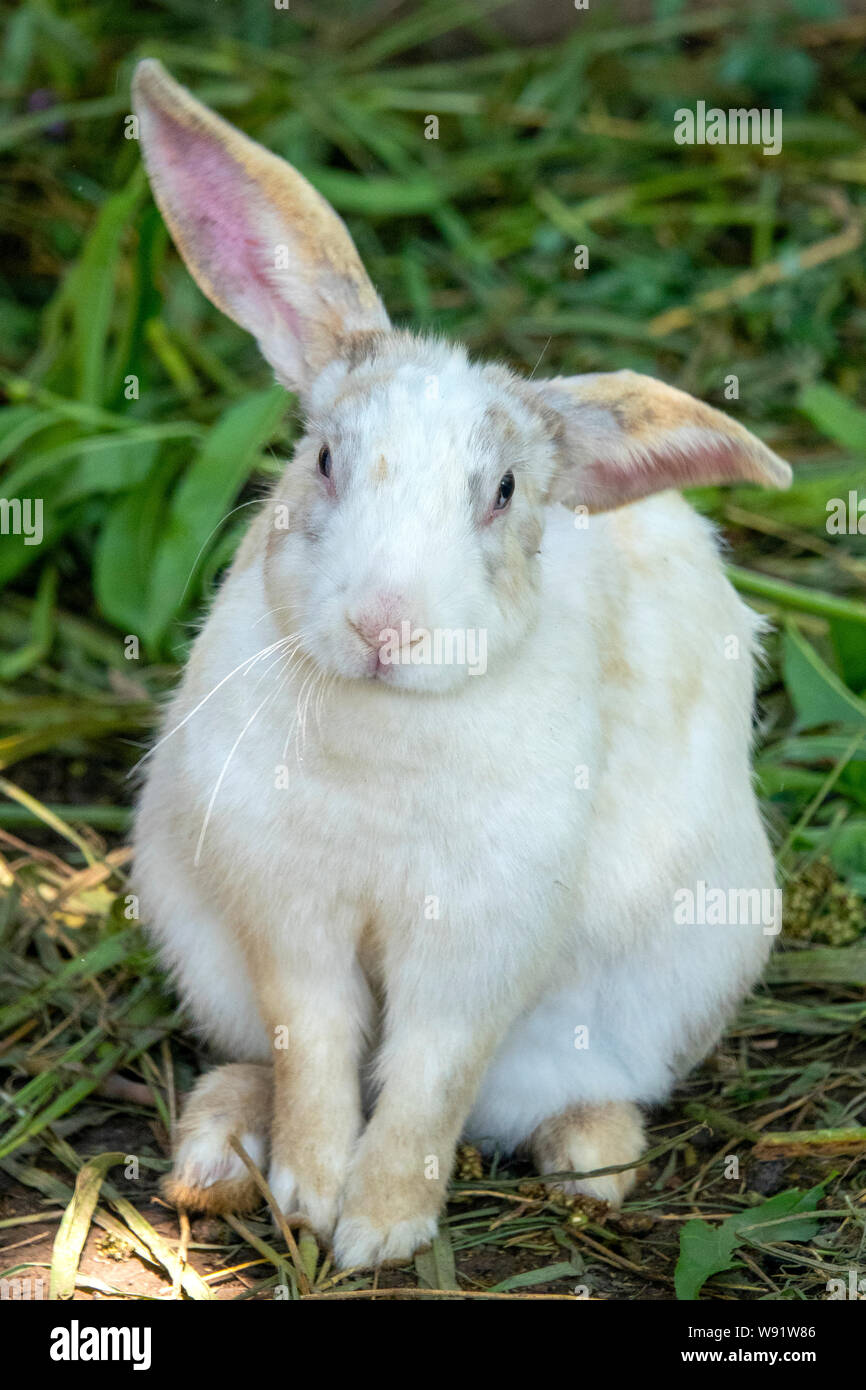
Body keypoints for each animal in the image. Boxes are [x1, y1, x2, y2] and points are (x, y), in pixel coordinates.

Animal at [131, 59, 791, 1270]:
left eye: (504, 494)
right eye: (325, 458)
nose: (385, 625)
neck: (384, 725)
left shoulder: (481, 942)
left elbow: (430, 1077)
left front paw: (379, 1227)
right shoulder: (288, 917)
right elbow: (315, 1046)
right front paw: (308, 1191)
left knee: (553, 1095)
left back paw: (591, 1164)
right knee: (252, 1058)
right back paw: (215, 1161)